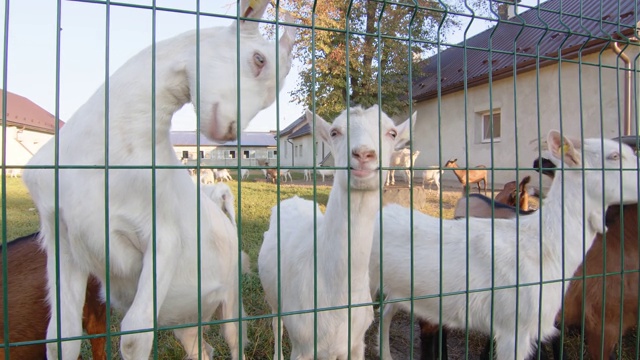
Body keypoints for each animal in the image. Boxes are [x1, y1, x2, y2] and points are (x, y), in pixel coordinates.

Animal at [21, 1, 298, 358]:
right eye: (259, 59)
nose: (229, 130)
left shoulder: (163, 239)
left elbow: (134, 335)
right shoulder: (61, 239)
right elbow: (61, 336)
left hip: (230, 299)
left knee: (234, 337)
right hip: (184, 320)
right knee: (203, 349)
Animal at [258, 105, 416, 358]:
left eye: (392, 133)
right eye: (334, 132)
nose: (363, 154)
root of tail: (293, 198)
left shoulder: (356, 343)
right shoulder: (302, 344)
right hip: (273, 296)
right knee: (276, 322)